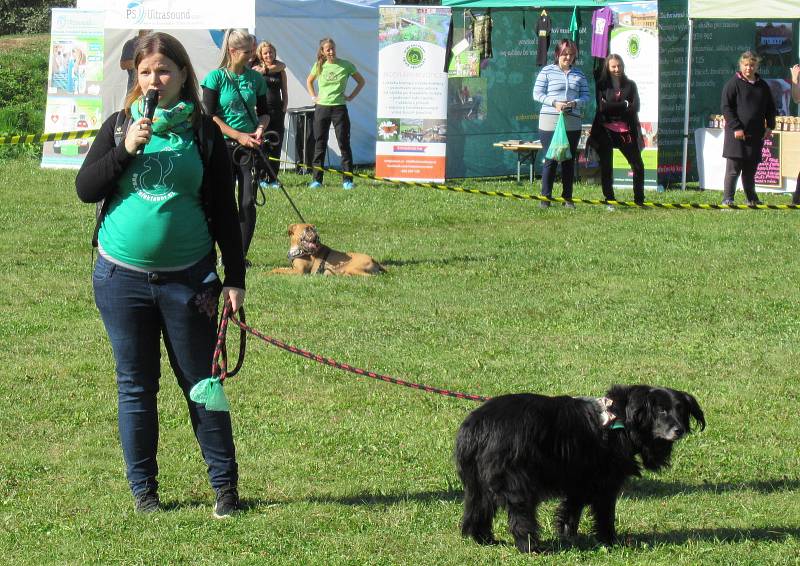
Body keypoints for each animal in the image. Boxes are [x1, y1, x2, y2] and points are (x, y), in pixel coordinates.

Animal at [454, 386, 704, 556]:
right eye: (661, 411)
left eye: (681, 410)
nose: (679, 430)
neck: (621, 419)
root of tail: (477, 426)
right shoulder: (605, 481)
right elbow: (604, 513)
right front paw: (609, 540)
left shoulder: (580, 479)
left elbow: (571, 509)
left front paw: (569, 535)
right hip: (515, 479)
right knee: (519, 515)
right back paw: (531, 547)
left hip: (478, 479)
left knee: (478, 508)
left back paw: (484, 539)